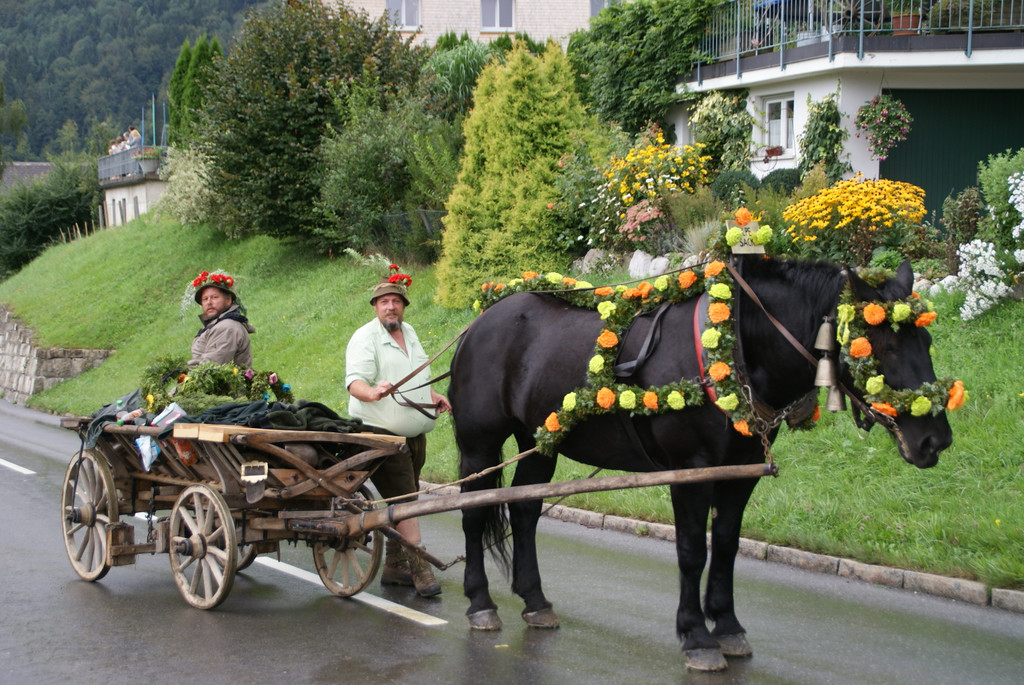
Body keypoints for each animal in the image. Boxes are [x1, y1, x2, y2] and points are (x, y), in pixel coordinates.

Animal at [447, 257, 954, 672]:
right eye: (882, 345)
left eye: (927, 339)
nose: (935, 439)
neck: (735, 346)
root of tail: (479, 322)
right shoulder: (691, 471)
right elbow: (692, 552)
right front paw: (696, 635)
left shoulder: (740, 472)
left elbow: (726, 545)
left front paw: (727, 625)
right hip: (479, 444)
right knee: (472, 514)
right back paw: (480, 602)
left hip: (540, 442)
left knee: (524, 510)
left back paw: (535, 600)